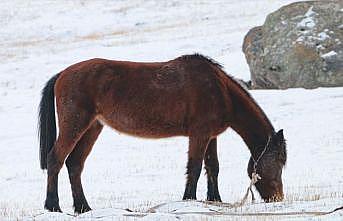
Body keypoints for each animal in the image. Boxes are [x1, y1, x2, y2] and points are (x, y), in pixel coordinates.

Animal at [39, 54, 288, 214]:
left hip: (92, 128)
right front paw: (189, 200)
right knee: (56, 160)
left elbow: (212, 167)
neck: (220, 90)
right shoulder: (199, 134)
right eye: (278, 160)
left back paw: (83, 208)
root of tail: (62, 74)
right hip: (75, 124)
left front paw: (214, 200)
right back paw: (53, 206)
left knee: (74, 164)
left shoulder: (211, 136)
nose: (278, 198)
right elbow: (195, 167)